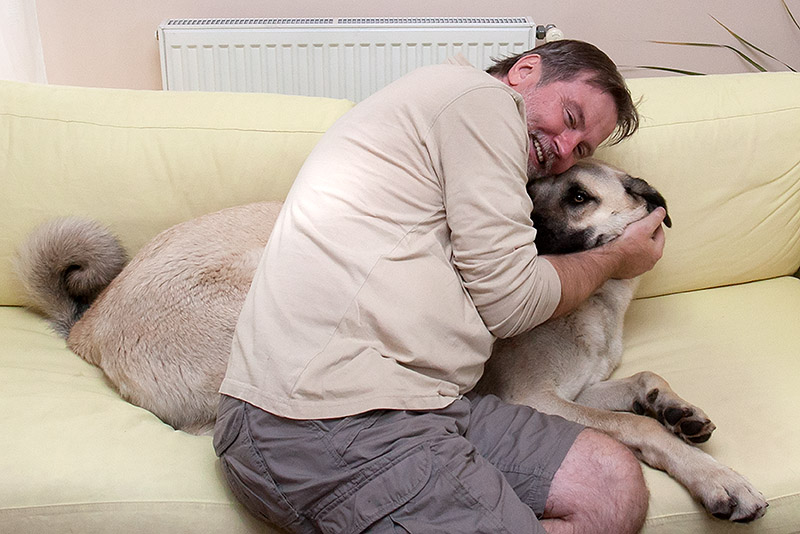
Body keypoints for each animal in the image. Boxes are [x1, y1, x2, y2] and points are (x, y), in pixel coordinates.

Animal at [15, 160, 766, 522]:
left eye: (578, 195)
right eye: (524, 192)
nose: (515, 230)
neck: (599, 304)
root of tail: (89, 323)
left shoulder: (584, 383)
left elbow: (645, 383)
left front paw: (678, 409)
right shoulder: (539, 399)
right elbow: (635, 428)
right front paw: (718, 480)